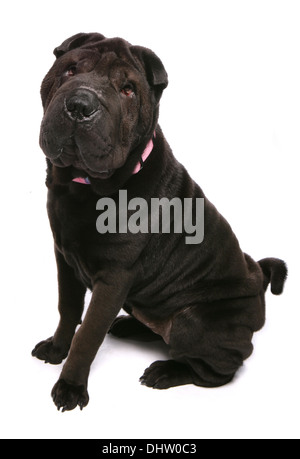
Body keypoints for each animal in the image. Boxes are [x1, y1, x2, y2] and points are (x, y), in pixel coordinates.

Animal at [31, 33, 288, 414]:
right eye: (71, 69)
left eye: (127, 90)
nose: (80, 105)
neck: (82, 188)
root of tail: (258, 282)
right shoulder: (64, 256)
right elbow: (69, 309)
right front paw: (56, 348)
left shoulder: (114, 278)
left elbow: (88, 335)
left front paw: (70, 387)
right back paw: (128, 326)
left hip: (192, 321)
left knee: (221, 368)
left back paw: (166, 372)